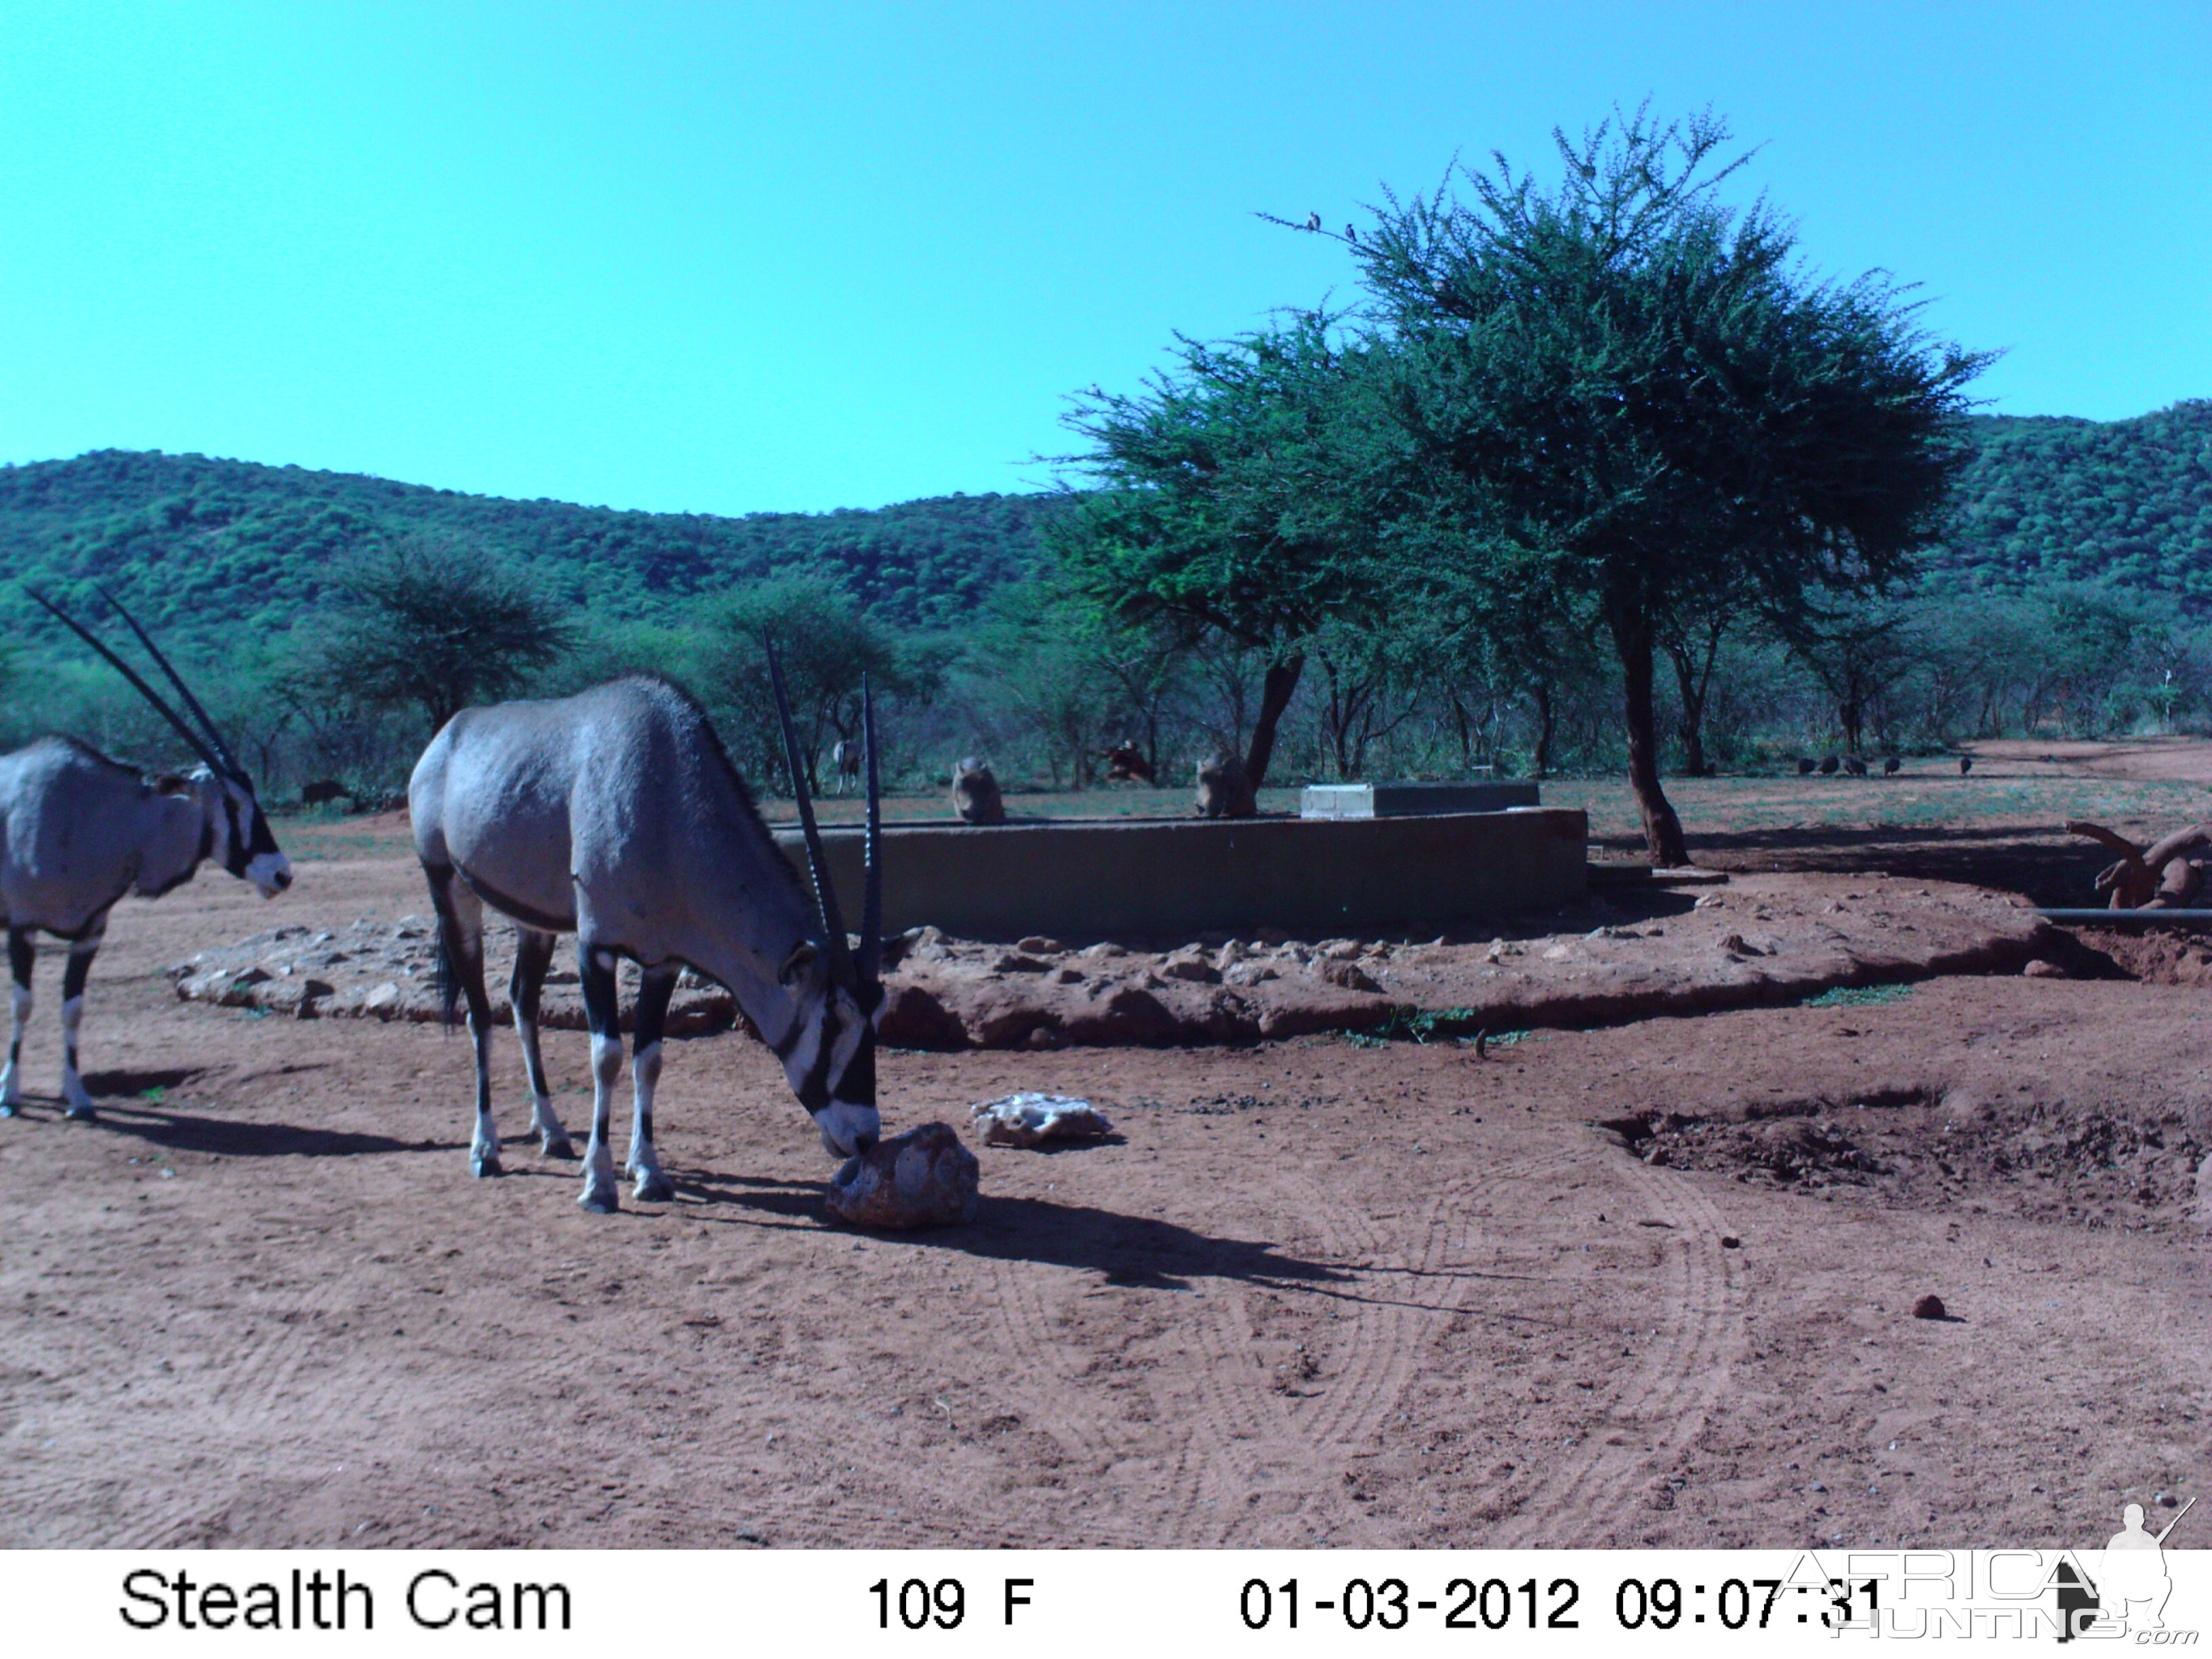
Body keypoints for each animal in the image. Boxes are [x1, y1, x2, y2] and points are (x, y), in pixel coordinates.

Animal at [5, 592, 294, 1124]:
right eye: (232, 802)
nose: (281, 873)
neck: (90, 813)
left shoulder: (90, 933)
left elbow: (72, 1008)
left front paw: (79, 1099)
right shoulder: (22, 926)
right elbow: (24, 1004)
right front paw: (10, 1096)